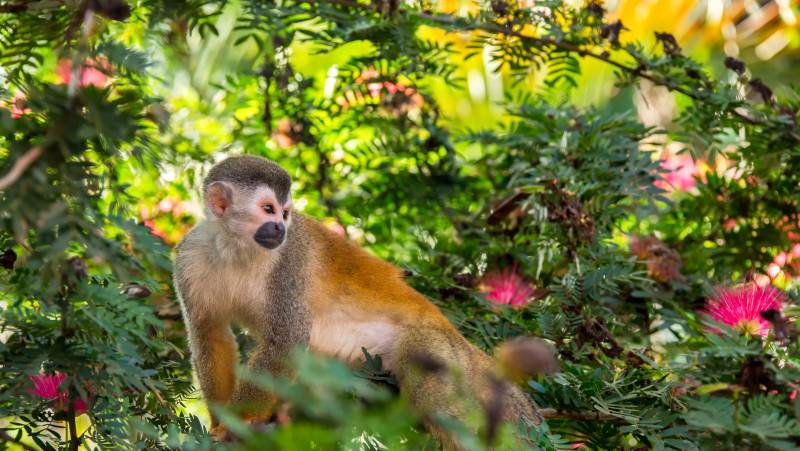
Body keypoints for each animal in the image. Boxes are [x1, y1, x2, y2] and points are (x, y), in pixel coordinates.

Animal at [174, 155, 553, 449]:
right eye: (268, 210)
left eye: (285, 213)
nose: (279, 228)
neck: (238, 248)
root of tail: (457, 338)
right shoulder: (190, 257)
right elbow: (209, 333)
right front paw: (219, 421)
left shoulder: (289, 261)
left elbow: (286, 340)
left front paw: (233, 425)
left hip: (435, 346)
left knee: (433, 395)